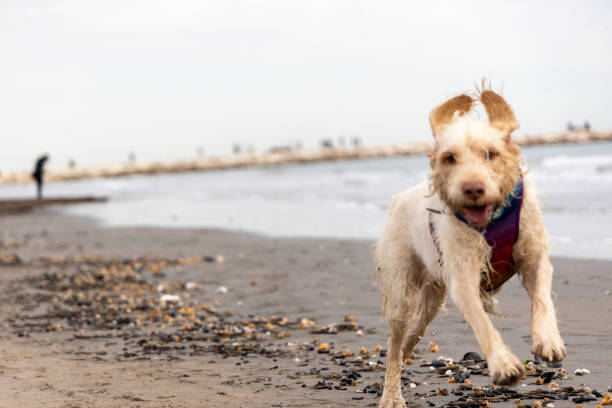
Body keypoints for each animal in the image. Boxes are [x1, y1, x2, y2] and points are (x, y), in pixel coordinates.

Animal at [376, 84, 568, 406]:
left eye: (491, 153)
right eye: (449, 158)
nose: (473, 188)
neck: (491, 221)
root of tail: (399, 198)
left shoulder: (534, 257)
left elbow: (542, 297)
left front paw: (548, 340)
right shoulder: (463, 279)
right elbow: (482, 322)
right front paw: (503, 364)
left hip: (430, 303)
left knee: (408, 341)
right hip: (401, 287)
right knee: (394, 343)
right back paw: (391, 396)